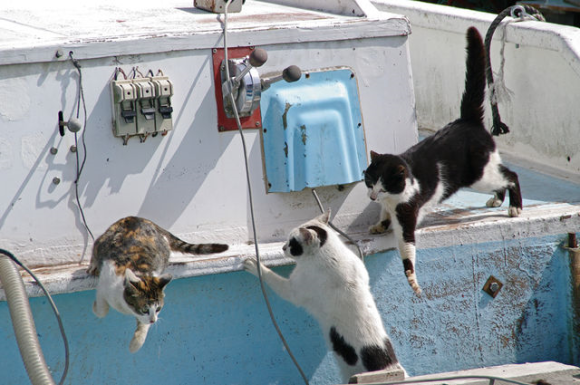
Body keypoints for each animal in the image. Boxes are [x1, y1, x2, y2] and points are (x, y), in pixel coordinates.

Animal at [87, 216, 228, 352]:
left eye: (158, 308)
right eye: (144, 309)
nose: (153, 320)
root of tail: (143, 219)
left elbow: (143, 327)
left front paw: (135, 344)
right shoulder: (105, 283)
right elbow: (102, 310)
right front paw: (95, 307)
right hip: (102, 242)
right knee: (96, 248)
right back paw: (93, 266)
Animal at [242, 210, 406, 380]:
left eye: (292, 243)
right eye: (287, 241)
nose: (283, 247)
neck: (329, 252)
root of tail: (388, 367)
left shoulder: (293, 290)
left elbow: (270, 276)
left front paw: (255, 265)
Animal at [362, 27, 520, 296]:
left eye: (383, 187)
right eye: (370, 183)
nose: (372, 197)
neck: (395, 197)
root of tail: (467, 120)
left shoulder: (407, 213)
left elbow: (407, 249)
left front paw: (412, 281)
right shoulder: (388, 206)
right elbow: (383, 216)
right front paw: (379, 225)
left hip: (479, 176)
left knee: (510, 175)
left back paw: (515, 207)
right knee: (503, 176)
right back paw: (498, 200)